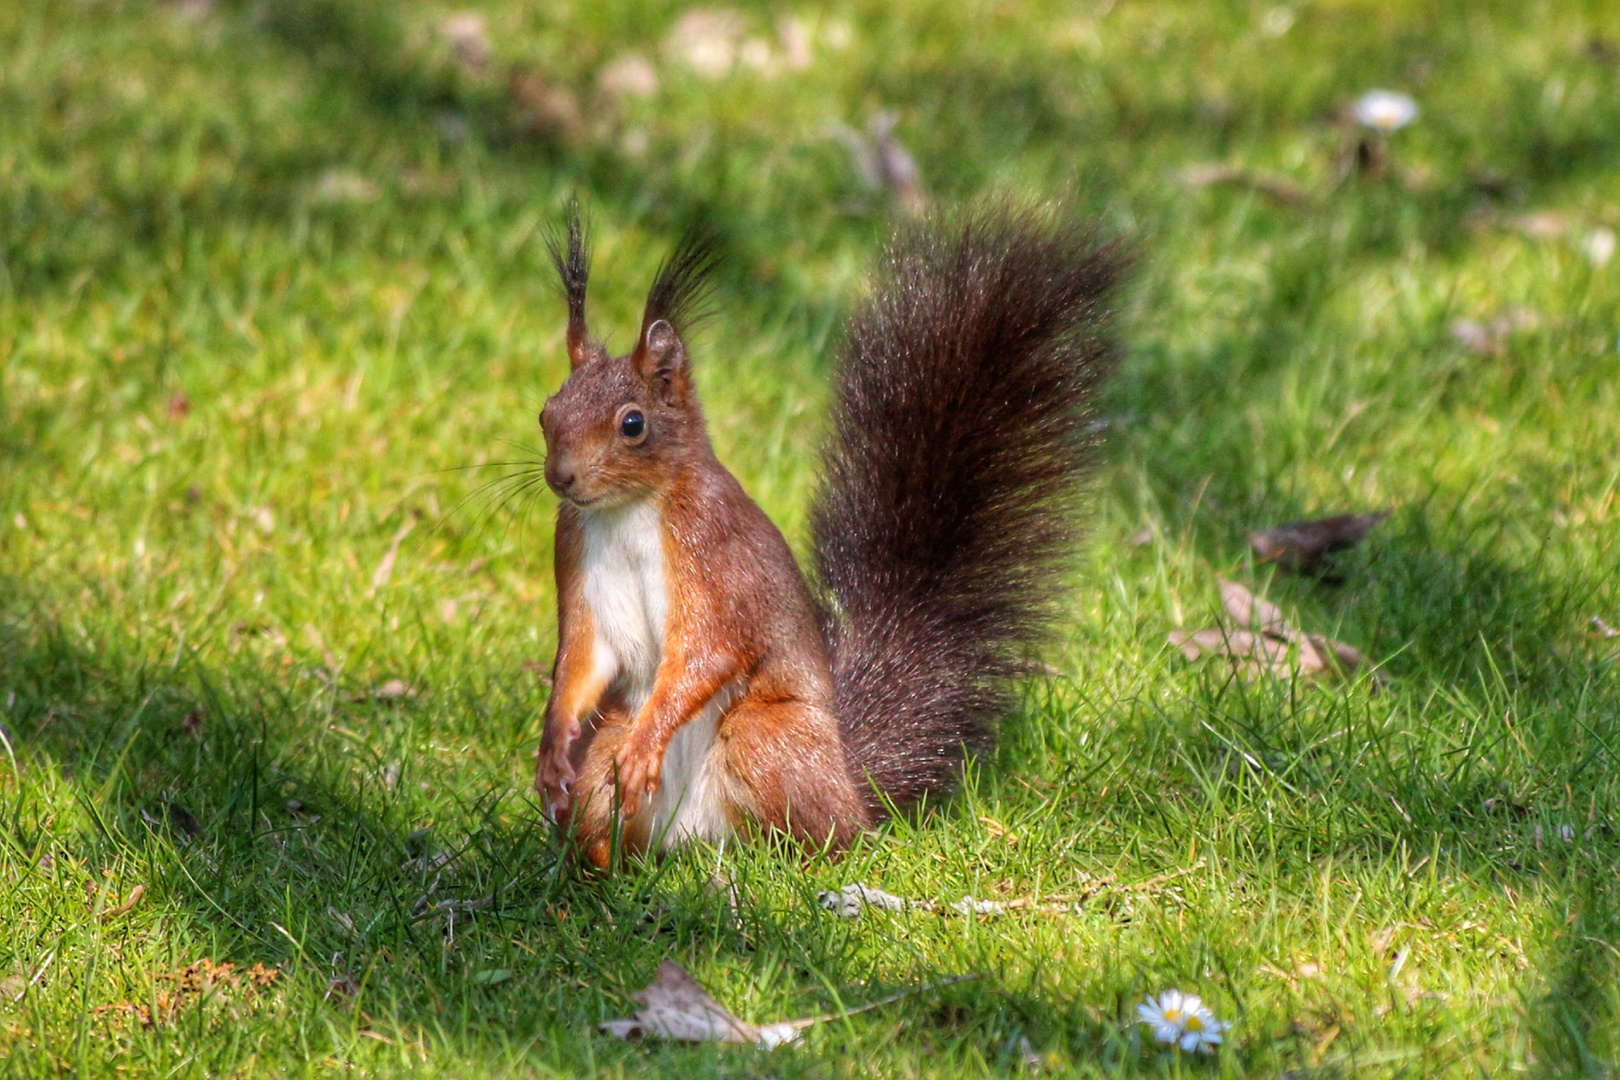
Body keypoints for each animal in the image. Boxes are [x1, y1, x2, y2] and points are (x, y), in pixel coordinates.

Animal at [528, 204, 1114, 867]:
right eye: (548, 411)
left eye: (633, 424)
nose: (561, 477)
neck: (625, 511)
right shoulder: (575, 550)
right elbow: (581, 657)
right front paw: (551, 751)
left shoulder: (716, 553)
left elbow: (708, 649)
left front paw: (648, 739)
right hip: (611, 752)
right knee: (606, 796)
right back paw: (596, 866)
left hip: (767, 738)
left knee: (823, 832)